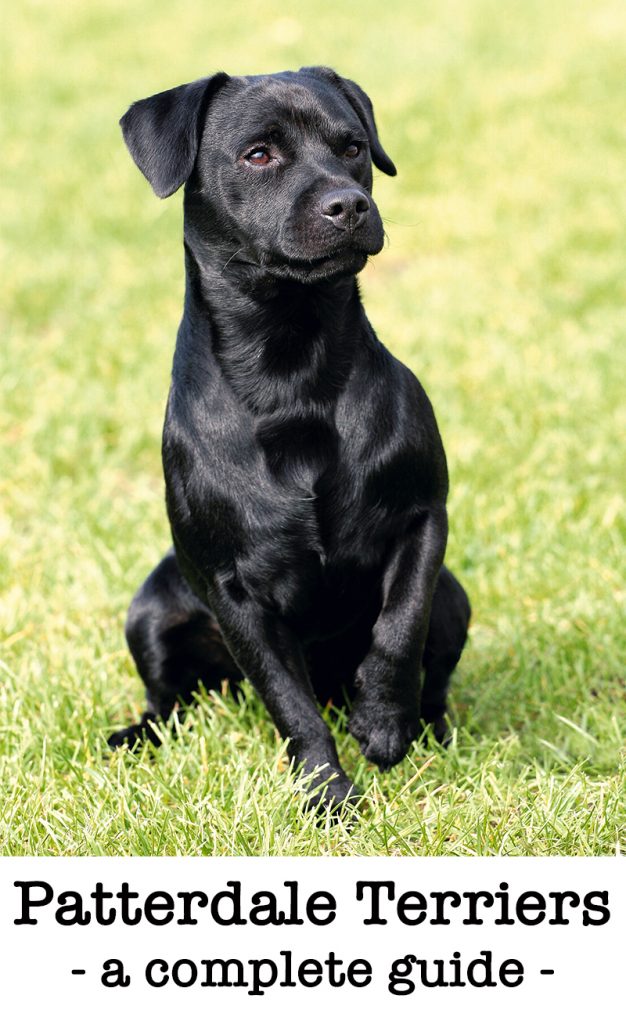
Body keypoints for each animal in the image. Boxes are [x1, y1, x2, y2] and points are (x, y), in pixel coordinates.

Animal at [109, 66, 471, 806]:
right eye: (259, 155)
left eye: (353, 146)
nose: (348, 205)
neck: (292, 366)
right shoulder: (233, 592)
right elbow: (290, 703)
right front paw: (329, 799)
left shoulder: (423, 520)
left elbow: (400, 625)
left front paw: (383, 724)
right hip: (150, 609)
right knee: (167, 700)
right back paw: (137, 737)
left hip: (456, 596)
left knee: (435, 667)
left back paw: (428, 729)